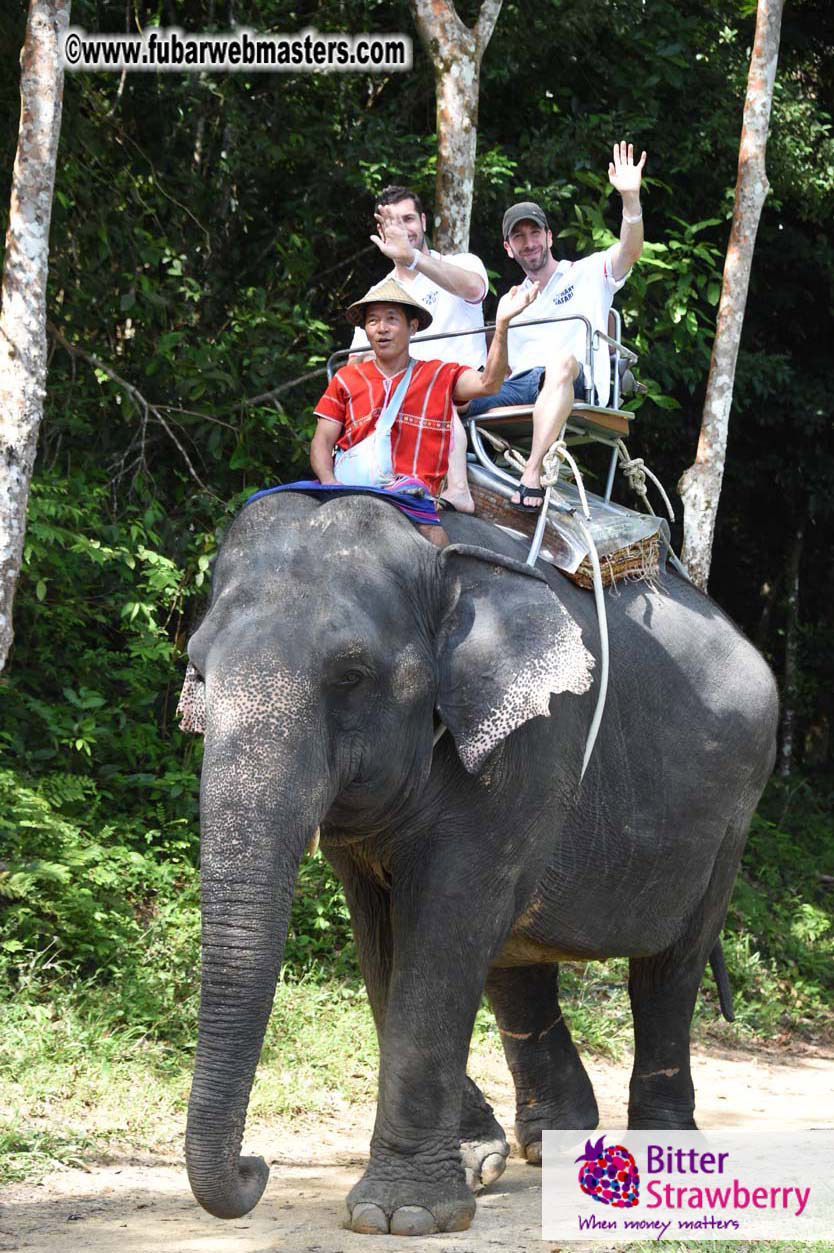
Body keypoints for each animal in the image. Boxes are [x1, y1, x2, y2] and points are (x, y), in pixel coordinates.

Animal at [181, 488, 778, 1236]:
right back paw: (556, 1143)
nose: (255, 1167)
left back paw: (660, 1152)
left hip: (732, 811)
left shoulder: (533, 742)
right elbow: (386, 944)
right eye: (199, 670)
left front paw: (399, 1214)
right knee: (516, 960)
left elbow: (443, 927)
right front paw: (470, 1166)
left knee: (669, 968)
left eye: (351, 675)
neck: (441, 563)